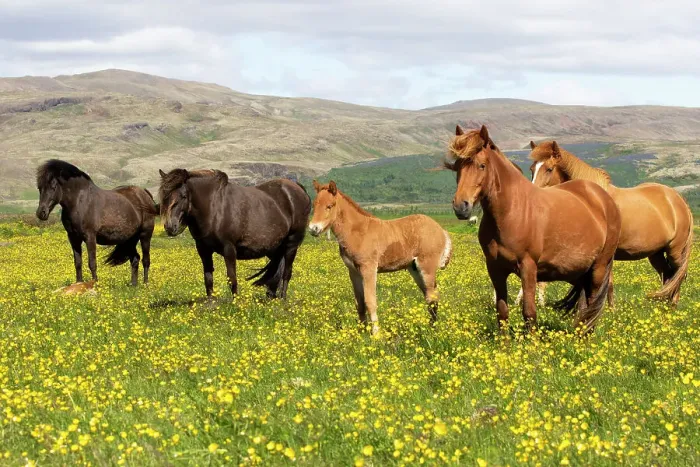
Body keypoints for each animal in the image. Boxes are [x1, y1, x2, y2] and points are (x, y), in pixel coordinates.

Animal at [158, 168, 310, 299]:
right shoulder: (203, 249)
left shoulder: (229, 248)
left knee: (286, 273)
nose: (170, 226)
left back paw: (282, 299)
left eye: (183, 196)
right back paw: (271, 296)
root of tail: (297, 188)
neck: (214, 208)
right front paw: (211, 303)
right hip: (275, 247)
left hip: (291, 244)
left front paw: (235, 303)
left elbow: (232, 278)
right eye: (164, 197)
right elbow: (208, 278)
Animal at [308, 180, 452, 335]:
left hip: (427, 268)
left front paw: (376, 334)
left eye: (330, 205)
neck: (359, 232)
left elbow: (370, 301)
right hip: (415, 269)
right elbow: (359, 302)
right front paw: (361, 332)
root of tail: (440, 230)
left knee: (432, 297)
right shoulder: (353, 272)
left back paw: (432, 330)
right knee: (431, 295)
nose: (313, 229)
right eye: (314, 205)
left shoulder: (369, 269)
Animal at [446, 125, 621, 333]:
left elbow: (529, 313)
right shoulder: (495, 268)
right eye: (457, 165)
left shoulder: (528, 268)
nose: (461, 206)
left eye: (482, 165)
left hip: (599, 268)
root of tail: (604, 198)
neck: (511, 212)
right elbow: (502, 312)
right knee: (584, 306)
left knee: (592, 308)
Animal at [530, 141, 693, 305]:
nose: (534, 195)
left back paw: (672, 305)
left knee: (677, 274)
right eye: (532, 169)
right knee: (667, 275)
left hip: (675, 250)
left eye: (549, 169)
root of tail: (678, 199)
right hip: (656, 253)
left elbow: (606, 283)